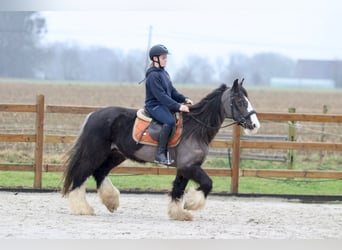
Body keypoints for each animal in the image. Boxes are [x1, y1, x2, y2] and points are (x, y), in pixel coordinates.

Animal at [62, 78, 260, 221]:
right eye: (240, 101)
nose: (255, 125)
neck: (195, 129)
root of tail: (93, 114)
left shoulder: (184, 168)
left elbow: (178, 190)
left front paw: (179, 213)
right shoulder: (190, 167)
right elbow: (207, 184)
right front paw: (190, 204)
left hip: (115, 154)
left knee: (99, 173)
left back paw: (111, 202)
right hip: (95, 153)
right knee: (81, 175)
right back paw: (82, 208)